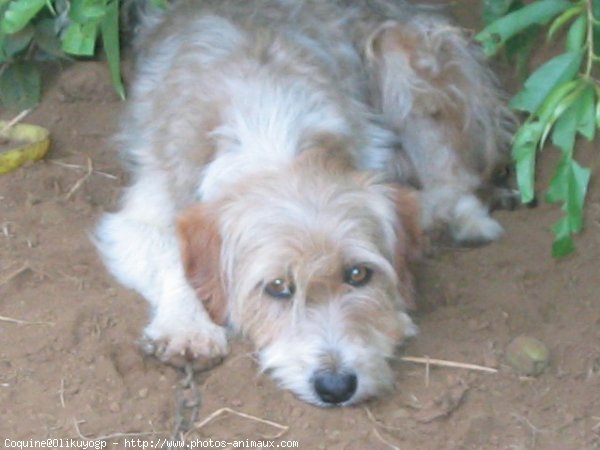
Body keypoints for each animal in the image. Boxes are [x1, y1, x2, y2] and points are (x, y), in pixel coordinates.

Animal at [96, 0, 512, 406]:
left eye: (358, 274)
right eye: (278, 286)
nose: (336, 386)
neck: (270, 129)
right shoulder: (146, 204)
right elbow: (169, 250)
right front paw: (188, 326)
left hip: (403, 54)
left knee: (454, 177)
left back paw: (464, 219)